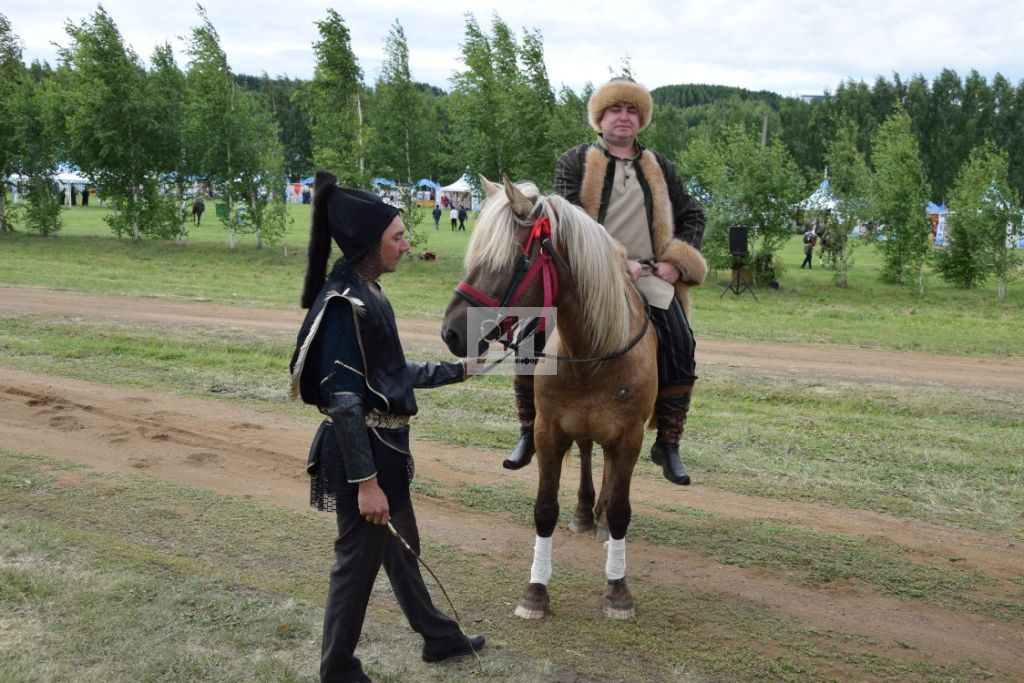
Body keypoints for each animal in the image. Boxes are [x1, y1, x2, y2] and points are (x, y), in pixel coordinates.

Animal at [440, 176, 655, 618]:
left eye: (507, 262)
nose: (451, 332)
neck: (594, 352)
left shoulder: (629, 437)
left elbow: (622, 511)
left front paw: (617, 588)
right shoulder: (548, 432)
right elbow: (544, 509)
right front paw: (535, 590)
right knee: (589, 454)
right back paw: (586, 511)